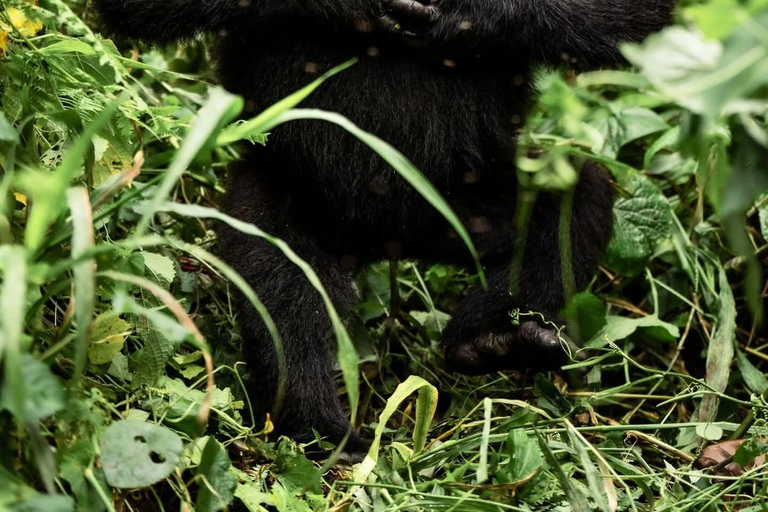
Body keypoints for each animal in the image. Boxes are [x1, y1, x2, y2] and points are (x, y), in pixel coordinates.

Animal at [94, 0, 676, 454]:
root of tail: (386, 243)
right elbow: (140, 7)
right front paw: (352, 1)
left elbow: (640, 19)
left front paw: (474, 15)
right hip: (289, 192)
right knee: (281, 272)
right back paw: (316, 421)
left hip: (459, 209)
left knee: (576, 202)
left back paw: (491, 341)